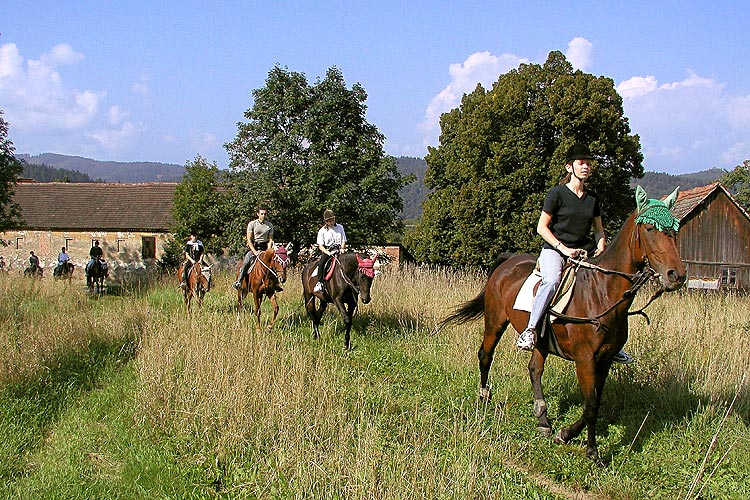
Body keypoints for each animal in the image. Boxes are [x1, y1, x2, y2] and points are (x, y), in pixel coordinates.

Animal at [442, 186, 686, 463]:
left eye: (675, 229)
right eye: (650, 229)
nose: (676, 275)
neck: (601, 293)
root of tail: (507, 262)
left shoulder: (604, 360)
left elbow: (596, 402)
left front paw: (566, 433)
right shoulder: (585, 358)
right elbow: (590, 405)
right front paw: (592, 451)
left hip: (540, 340)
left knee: (534, 368)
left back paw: (543, 419)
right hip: (495, 321)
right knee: (486, 354)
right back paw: (484, 397)